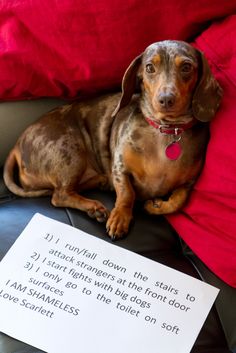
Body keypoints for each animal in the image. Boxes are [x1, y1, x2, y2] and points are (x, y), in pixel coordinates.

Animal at [3, 40, 222, 239]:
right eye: (149, 67)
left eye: (186, 67)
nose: (166, 99)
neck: (166, 131)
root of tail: (17, 145)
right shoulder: (119, 167)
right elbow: (127, 194)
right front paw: (120, 218)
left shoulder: (189, 183)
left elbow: (179, 201)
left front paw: (156, 206)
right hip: (71, 151)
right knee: (59, 195)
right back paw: (94, 207)